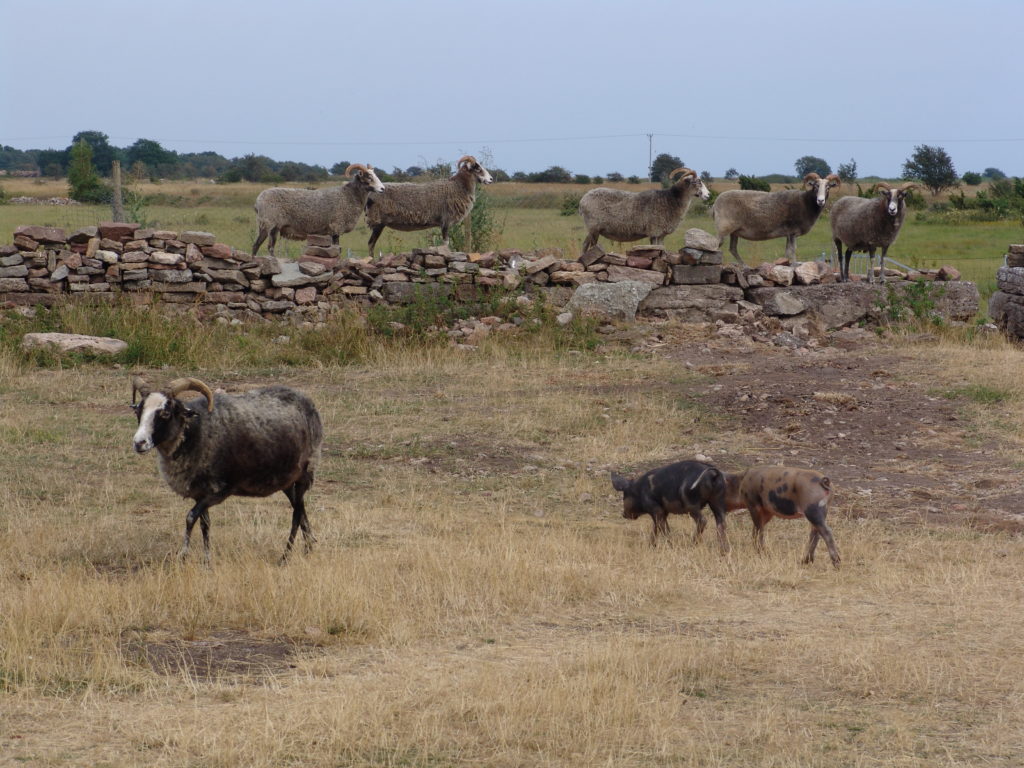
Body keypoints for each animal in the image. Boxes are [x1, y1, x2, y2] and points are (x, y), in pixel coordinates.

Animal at [131, 375, 323, 563]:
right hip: (287, 480)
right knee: (301, 509)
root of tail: (305, 400)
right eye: (138, 411)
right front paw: (207, 561)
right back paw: (308, 548)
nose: (139, 443)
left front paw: (183, 554)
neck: (194, 432)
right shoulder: (199, 492)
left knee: (296, 514)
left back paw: (285, 557)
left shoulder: (219, 491)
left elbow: (190, 517)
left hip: (306, 472)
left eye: (165, 413)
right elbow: (205, 524)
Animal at [251, 164, 385, 257]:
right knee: (264, 246)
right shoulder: (336, 227)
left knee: (260, 246)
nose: (382, 189)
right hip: (270, 224)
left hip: (268, 226)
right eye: (369, 177)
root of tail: (258, 201)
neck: (348, 196)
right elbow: (337, 248)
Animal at [364, 155, 493, 255]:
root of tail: (370, 195)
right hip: (378, 222)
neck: (458, 186)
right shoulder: (445, 221)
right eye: (477, 168)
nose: (491, 179)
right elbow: (446, 243)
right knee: (370, 244)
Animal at [579, 168, 711, 252]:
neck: (670, 200)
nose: (708, 195)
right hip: (594, 228)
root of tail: (583, 200)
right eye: (698, 182)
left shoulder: (661, 235)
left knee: (584, 245)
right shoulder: (654, 232)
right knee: (589, 246)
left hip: (592, 229)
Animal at [711, 172, 841, 265]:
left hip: (734, 232)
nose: (820, 200)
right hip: (723, 228)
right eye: (815, 186)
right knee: (716, 245)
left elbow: (787, 252)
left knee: (733, 249)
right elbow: (793, 251)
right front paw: (794, 266)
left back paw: (744, 266)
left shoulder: (789, 234)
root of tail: (716, 202)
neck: (805, 202)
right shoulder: (792, 232)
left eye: (828, 187)